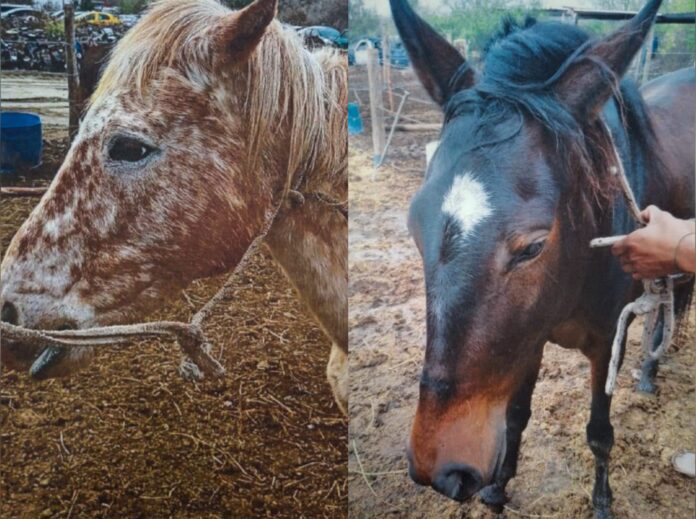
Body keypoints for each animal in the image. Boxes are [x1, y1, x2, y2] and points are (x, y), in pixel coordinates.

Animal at [390, 0, 694, 516]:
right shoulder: (527, 338)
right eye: (414, 226)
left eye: (533, 246)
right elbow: (515, 416)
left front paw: (602, 500)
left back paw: (651, 371)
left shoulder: (606, 339)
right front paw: (498, 487)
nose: (441, 467)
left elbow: (599, 433)